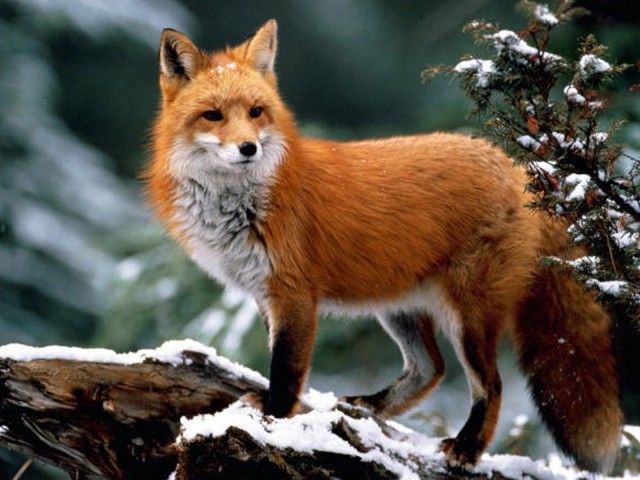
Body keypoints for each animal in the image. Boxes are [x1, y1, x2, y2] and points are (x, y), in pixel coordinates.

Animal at [145, 19, 623, 472]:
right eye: (212, 115)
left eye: (256, 112)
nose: (248, 148)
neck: (241, 205)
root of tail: (516, 166)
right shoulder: (265, 294)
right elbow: (281, 363)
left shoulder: (294, 294)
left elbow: (286, 369)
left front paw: (274, 419)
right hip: (398, 307)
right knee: (430, 369)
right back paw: (370, 408)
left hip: (468, 316)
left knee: (491, 384)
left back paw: (467, 448)